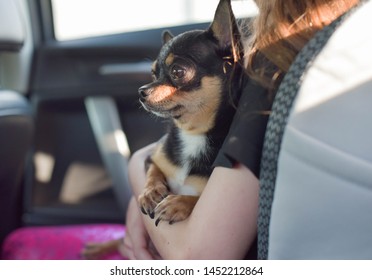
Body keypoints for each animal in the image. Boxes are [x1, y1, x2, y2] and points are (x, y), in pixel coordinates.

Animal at [82, 0, 244, 260]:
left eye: (178, 71)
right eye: (153, 73)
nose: (141, 91)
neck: (193, 134)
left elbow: (197, 199)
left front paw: (178, 203)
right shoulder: (152, 157)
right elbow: (153, 170)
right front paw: (150, 192)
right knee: (119, 240)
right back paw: (97, 248)